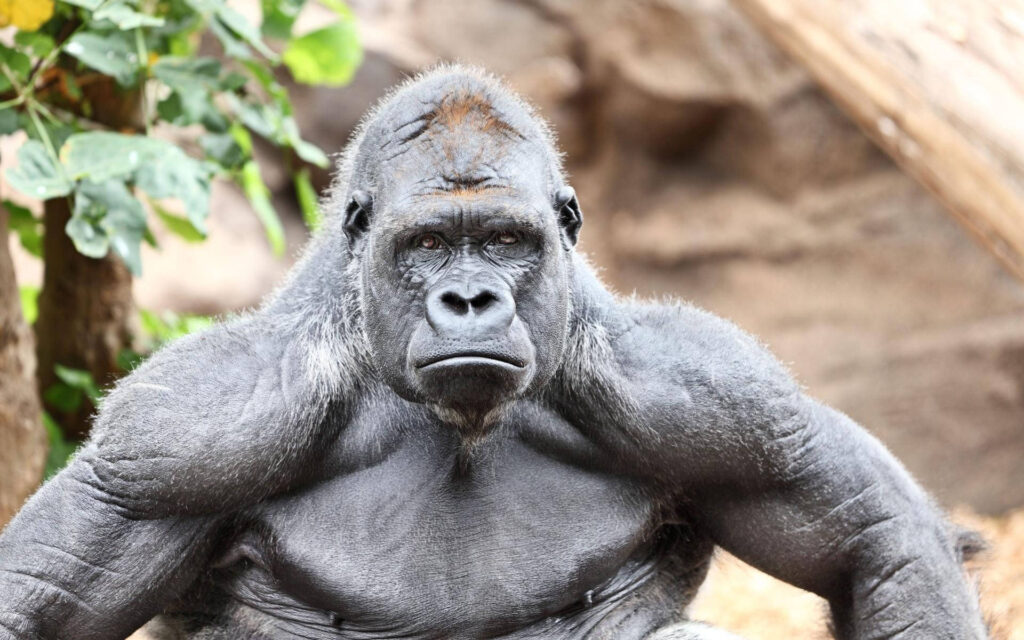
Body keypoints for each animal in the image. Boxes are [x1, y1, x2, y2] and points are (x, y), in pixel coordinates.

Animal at [0, 65, 987, 640]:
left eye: (507, 242)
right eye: (430, 244)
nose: (469, 299)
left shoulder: (721, 401)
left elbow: (876, 539)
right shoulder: (186, 434)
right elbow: (38, 596)